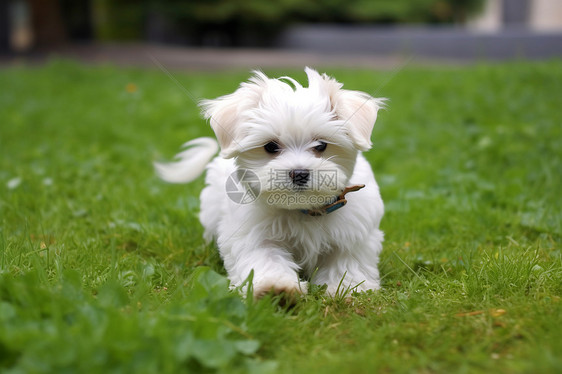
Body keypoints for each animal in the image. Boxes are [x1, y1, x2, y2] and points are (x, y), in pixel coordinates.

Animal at [158, 68, 384, 298]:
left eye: (321, 145)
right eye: (270, 146)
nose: (299, 173)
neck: (303, 210)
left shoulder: (352, 234)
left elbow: (345, 262)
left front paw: (347, 289)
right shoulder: (255, 235)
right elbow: (266, 258)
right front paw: (275, 288)